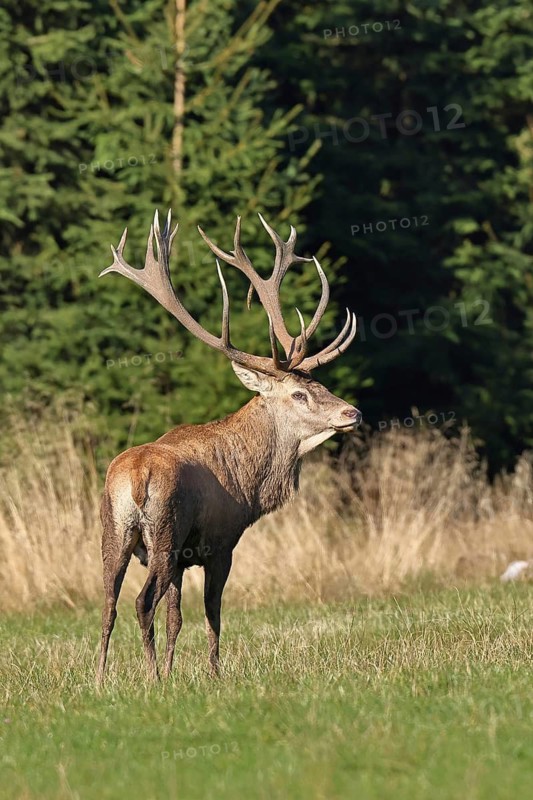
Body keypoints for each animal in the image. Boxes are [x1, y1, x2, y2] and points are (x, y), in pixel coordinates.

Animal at [96, 209, 360, 683]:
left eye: (321, 384)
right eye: (299, 394)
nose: (353, 413)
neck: (249, 484)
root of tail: (137, 476)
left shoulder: (185, 558)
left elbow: (176, 618)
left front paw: (177, 671)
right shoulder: (221, 542)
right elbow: (212, 614)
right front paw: (213, 675)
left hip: (115, 530)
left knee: (108, 602)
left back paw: (100, 678)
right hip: (165, 531)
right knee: (141, 602)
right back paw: (151, 678)